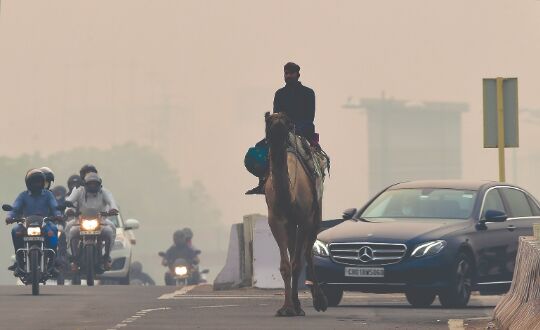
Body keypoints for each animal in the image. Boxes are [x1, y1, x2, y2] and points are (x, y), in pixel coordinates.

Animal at [264, 112, 326, 316]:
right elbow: (286, 265)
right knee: (294, 253)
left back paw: (319, 301)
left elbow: (298, 263)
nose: (277, 129)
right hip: (291, 224)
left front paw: (295, 307)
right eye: (268, 124)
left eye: (287, 123)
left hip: (316, 214)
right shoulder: (275, 220)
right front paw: (287, 308)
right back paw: (297, 304)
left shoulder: (304, 219)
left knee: (307, 253)